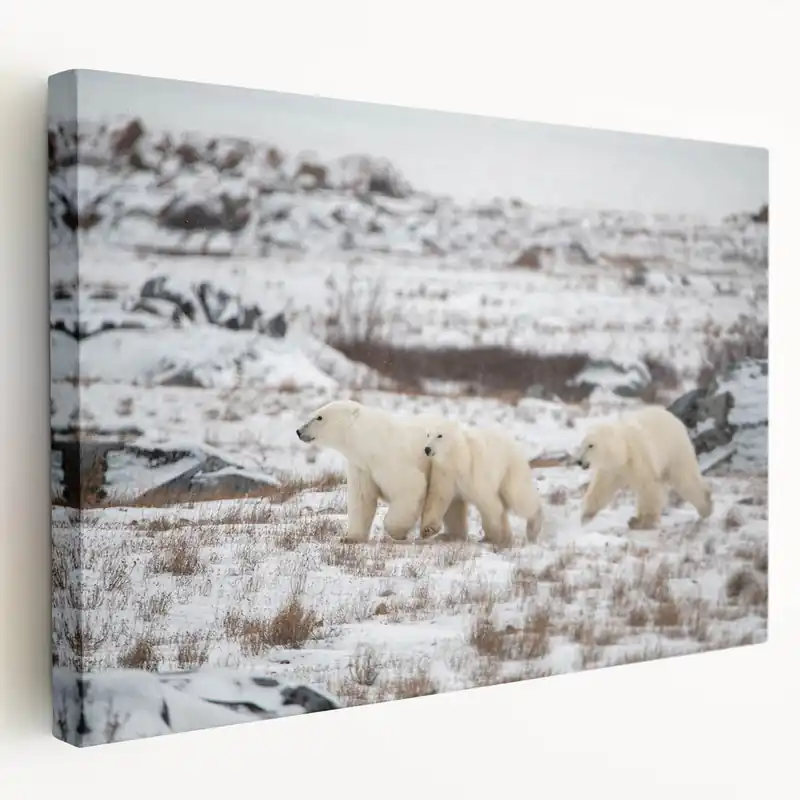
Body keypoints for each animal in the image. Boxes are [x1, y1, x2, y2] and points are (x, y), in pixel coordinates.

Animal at [295, 400, 468, 544]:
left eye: (319, 417)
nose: (298, 431)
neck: (371, 441)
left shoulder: (391, 459)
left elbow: (410, 487)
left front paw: (398, 532)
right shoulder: (362, 466)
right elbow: (362, 498)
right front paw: (350, 537)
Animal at [419, 418, 544, 549]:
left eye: (440, 435)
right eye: (428, 434)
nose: (427, 449)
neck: (458, 460)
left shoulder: (474, 474)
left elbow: (490, 504)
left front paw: (500, 539)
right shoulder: (444, 473)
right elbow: (439, 498)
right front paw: (428, 530)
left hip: (510, 469)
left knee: (517, 496)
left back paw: (533, 529)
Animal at [573, 404, 713, 530]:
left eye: (591, 445)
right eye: (582, 445)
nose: (579, 461)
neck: (624, 452)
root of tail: (674, 418)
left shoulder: (640, 458)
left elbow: (648, 487)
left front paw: (645, 522)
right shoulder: (611, 470)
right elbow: (601, 488)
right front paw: (585, 517)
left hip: (675, 450)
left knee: (685, 479)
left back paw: (706, 507)